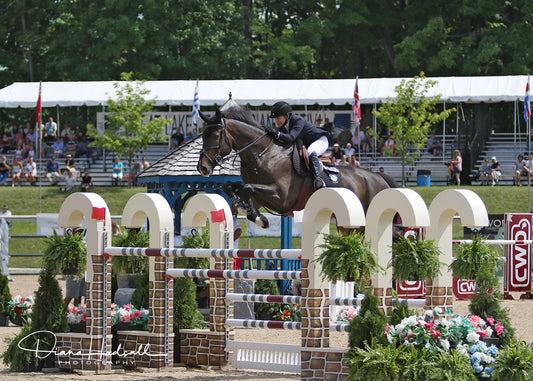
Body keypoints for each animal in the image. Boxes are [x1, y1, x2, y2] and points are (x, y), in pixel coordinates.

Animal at [195, 105, 394, 227]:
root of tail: (379, 177)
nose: (202, 168)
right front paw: (247, 210)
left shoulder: (281, 197)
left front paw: (259, 219)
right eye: (203, 135)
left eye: (215, 136)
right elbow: (233, 186)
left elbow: (247, 188)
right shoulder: (260, 197)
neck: (262, 155)